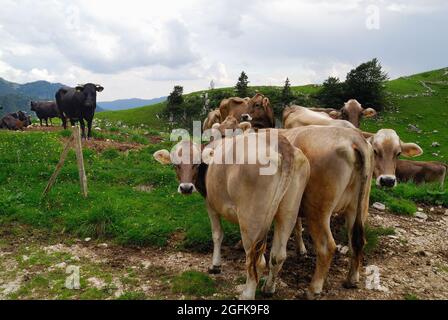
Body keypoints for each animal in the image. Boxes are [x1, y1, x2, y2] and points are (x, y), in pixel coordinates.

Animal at [152, 131, 310, 300]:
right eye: (175, 165)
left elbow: (217, 235)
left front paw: (215, 265)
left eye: (196, 164)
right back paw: (268, 288)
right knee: (278, 256)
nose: (186, 188)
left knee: (256, 260)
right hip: (288, 213)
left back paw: (247, 294)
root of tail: (282, 143)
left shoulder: (211, 204)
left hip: (251, 220)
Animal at [280, 125, 374, 300]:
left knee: (327, 247)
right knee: (357, 241)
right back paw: (352, 279)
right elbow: (297, 226)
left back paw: (313, 289)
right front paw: (301, 249)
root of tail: (354, 137)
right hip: (358, 207)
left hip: (318, 210)